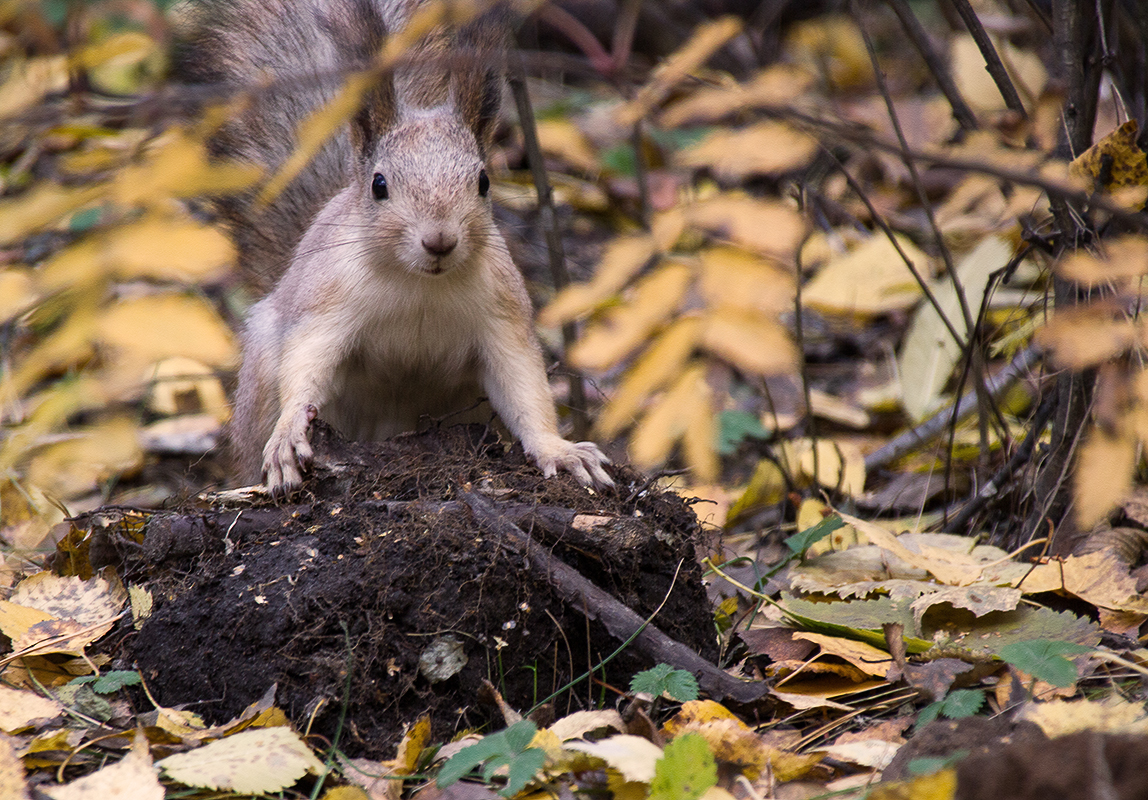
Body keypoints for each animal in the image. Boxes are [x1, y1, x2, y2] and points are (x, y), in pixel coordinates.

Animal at [179, 0, 615, 493]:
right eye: (379, 184)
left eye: (484, 181)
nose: (439, 240)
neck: (418, 285)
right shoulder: (326, 305)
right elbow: (307, 365)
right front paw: (289, 433)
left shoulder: (502, 315)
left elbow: (523, 387)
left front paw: (560, 451)